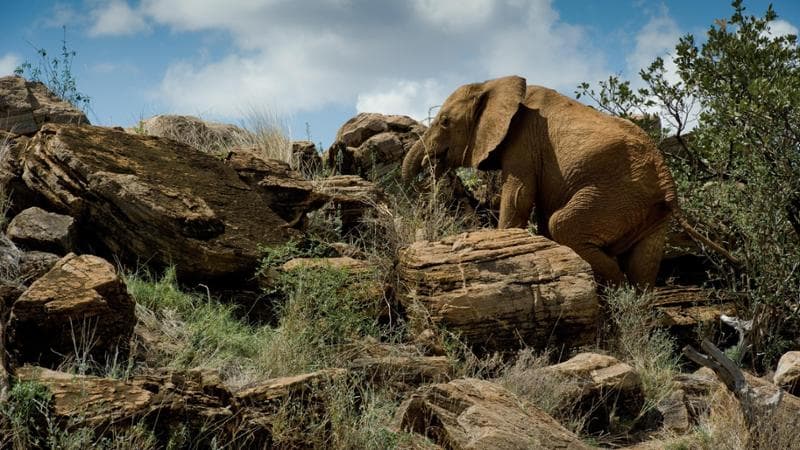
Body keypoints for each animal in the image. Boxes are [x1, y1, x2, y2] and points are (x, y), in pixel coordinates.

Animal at [402, 75, 737, 289]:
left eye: (445, 121)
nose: (427, 169)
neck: (492, 83)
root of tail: (666, 177)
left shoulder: (524, 141)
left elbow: (518, 196)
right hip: (650, 211)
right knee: (643, 265)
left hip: (616, 194)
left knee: (563, 225)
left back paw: (614, 291)